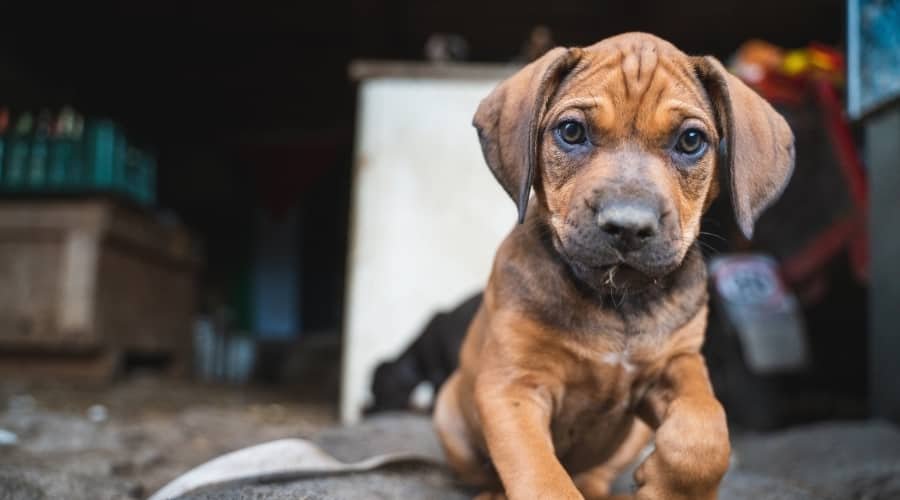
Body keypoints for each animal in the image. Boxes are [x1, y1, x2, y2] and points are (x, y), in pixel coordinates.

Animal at [432, 32, 792, 500]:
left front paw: (669, 487)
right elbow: (542, 476)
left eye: (691, 140)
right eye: (571, 132)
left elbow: (706, 429)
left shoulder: (680, 360)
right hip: (450, 410)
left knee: (595, 476)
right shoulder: (512, 386)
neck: (614, 298)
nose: (628, 226)